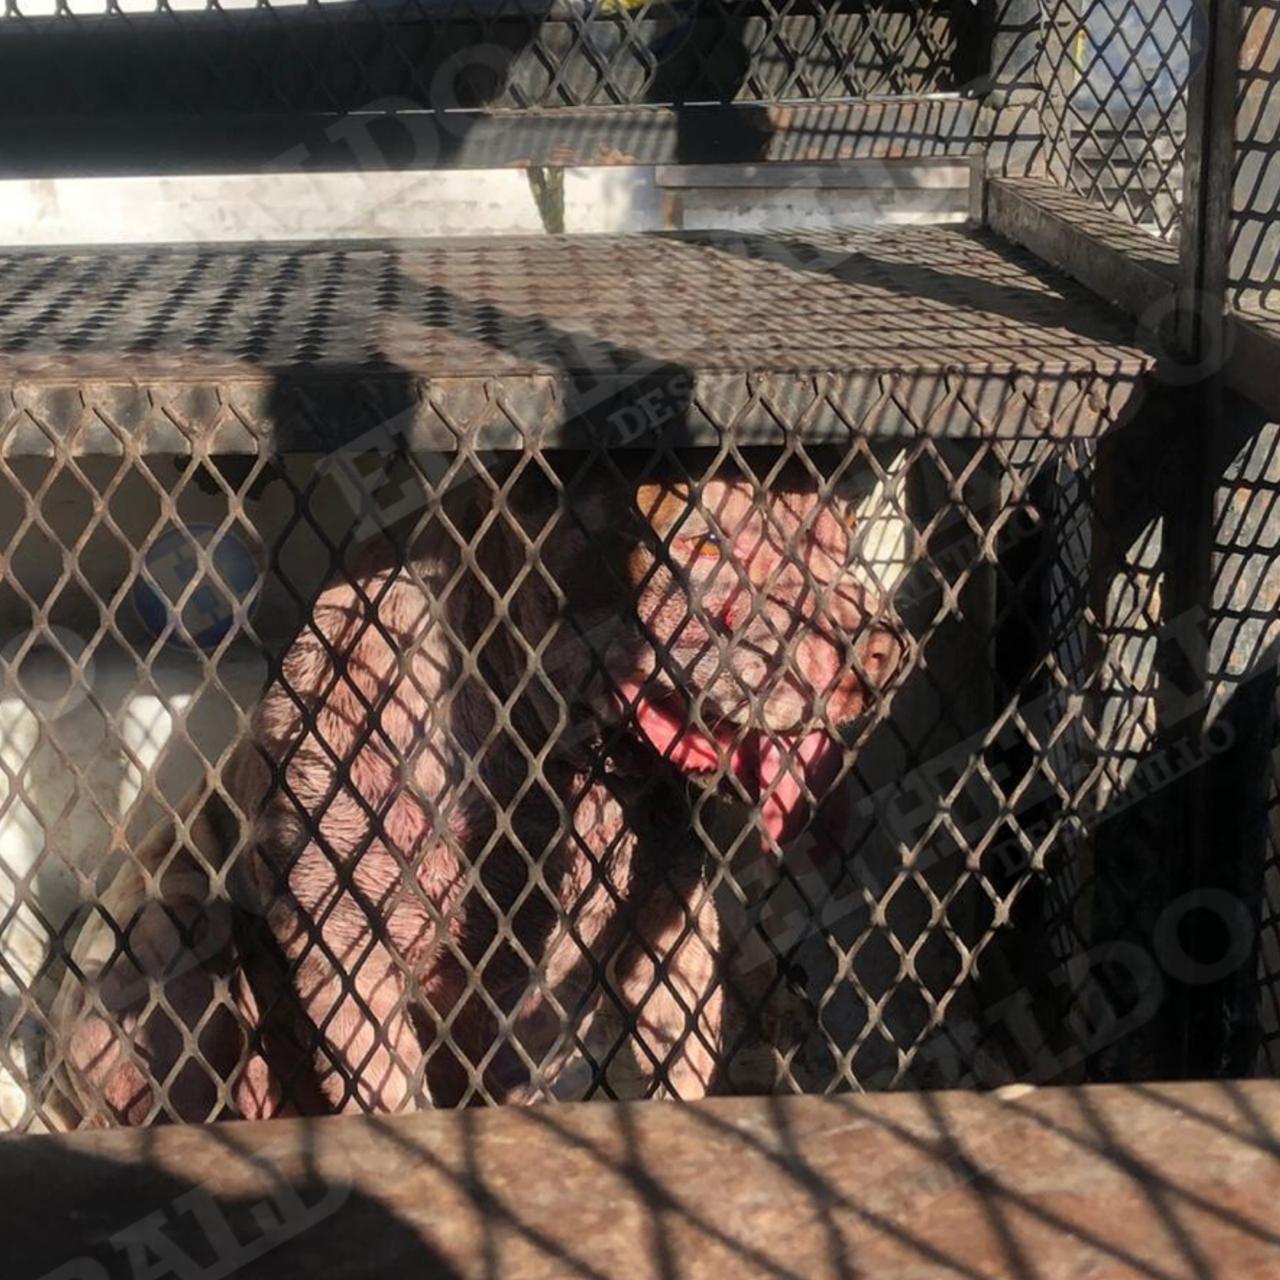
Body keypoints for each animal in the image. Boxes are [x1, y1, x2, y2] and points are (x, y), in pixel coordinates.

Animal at [51, 449, 913, 1125]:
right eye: (701, 542)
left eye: (842, 542)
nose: (879, 650)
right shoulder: (349, 954)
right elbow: (389, 1090)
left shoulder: (673, 926)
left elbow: (680, 1057)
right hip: (171, 935)